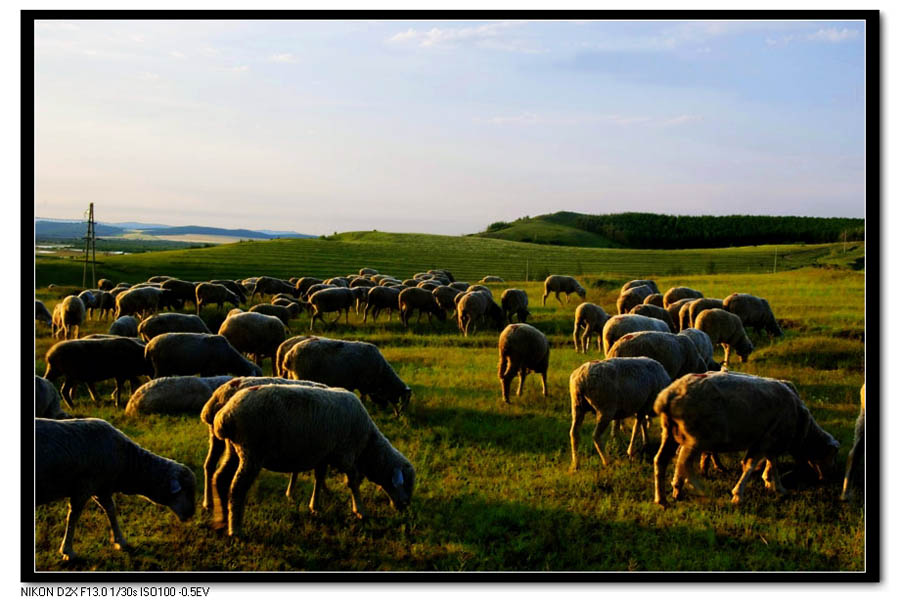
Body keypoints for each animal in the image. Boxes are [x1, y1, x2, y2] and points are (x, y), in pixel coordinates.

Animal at [208, 382, 414, 532]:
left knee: (220, 478)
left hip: (234, 450)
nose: (405, 507)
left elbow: (319, 478)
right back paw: (235, 529)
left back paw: (221, 518)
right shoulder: (345, 454)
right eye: (405, 484)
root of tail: (225, 416)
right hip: (251, 452)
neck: (367, 446)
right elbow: (353, 482)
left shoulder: (324, 455)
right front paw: (360, 511)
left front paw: (314, 506)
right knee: (237, 488)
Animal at [282, 336, 412, 414]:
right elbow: (363, 397)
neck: (382, 375)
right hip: (301, 376)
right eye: (403, 401)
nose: (399, 416)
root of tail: (289, 355)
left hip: (292, 377)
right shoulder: (364, 383)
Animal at [652, 372, 840, 504]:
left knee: (661, 460)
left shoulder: (769, 441)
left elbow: (770, 463)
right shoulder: (768, 439)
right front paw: (738, 495)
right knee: (684, 463)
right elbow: (752, 465)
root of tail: (668, 396)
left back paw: (663, 498)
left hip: (670, 433)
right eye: (832, 455)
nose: (828, 478)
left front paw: (776, 486)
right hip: (698, 437)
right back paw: (700, 490)